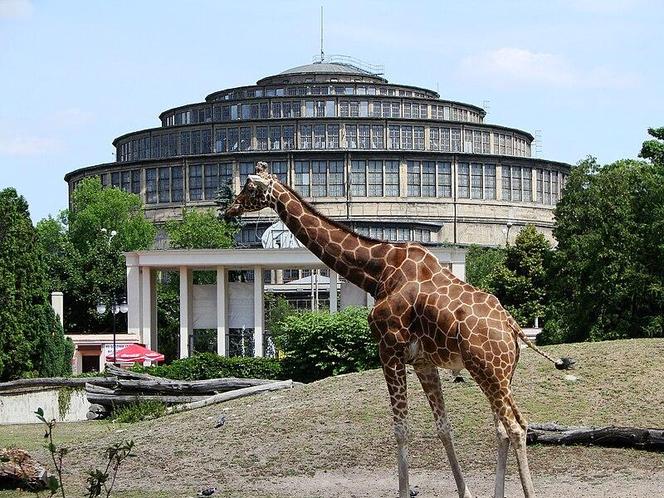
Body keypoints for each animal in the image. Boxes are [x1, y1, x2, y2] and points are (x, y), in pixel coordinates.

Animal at [226, 161, 572, 496]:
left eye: (250, 186)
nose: (230, 209)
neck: (378, 272)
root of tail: (513, 328)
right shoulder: (423, 361)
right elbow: (443, 427)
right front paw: (466, 493)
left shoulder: (389, 350)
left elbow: (401, 430)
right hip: (501, 374)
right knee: (502, 428)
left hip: (488, 370)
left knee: (517, 427)